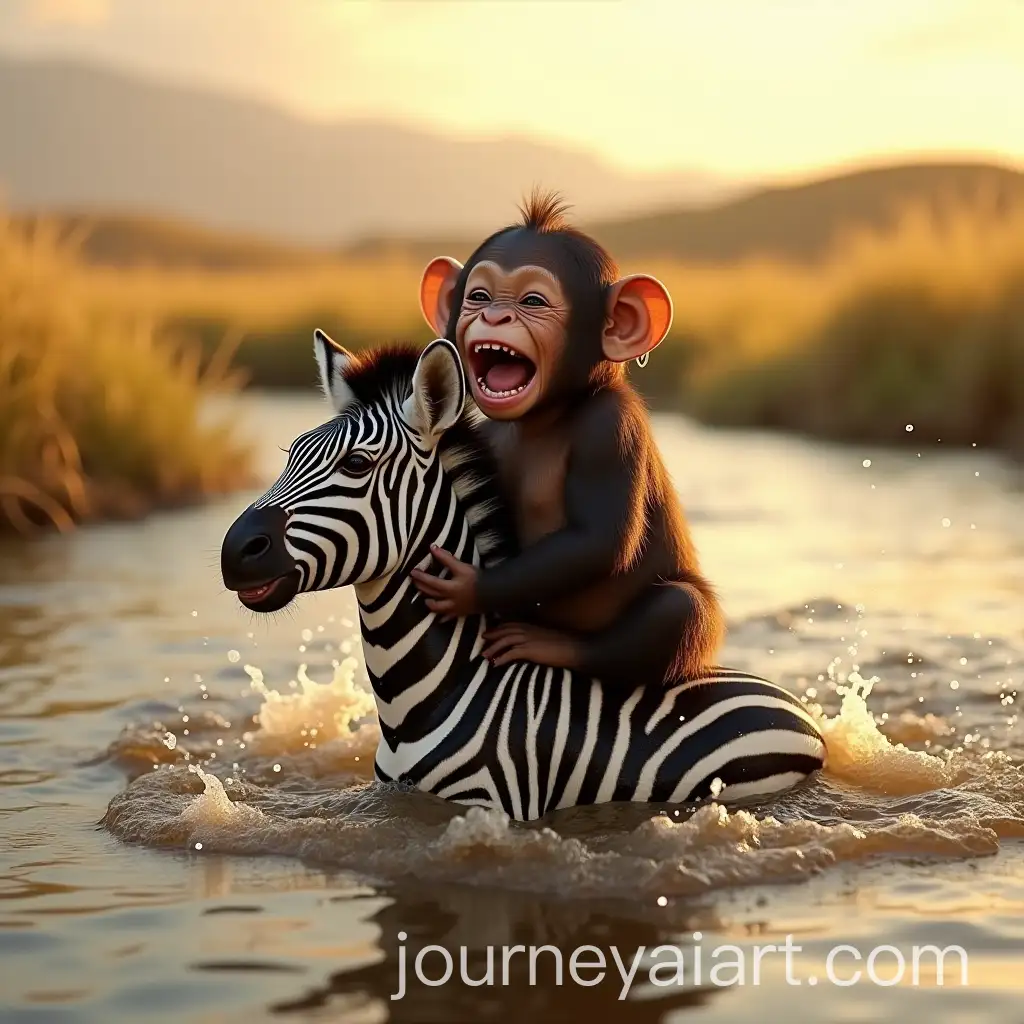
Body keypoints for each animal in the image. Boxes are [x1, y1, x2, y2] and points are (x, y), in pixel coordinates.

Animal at [220, 331, 826, 821]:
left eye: (356, 465)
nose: (233, 552)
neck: (431, 698)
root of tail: (801, 712)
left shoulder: (492, 803)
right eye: (290, 454)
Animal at [409, 190, 725, 689]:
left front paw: (467, 588)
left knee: (678, 609)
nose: (495, 314)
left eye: (534, 301)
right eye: (478, 296)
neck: (547, 413)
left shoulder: (610, 428)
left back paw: (551, 644)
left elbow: (600, 539)